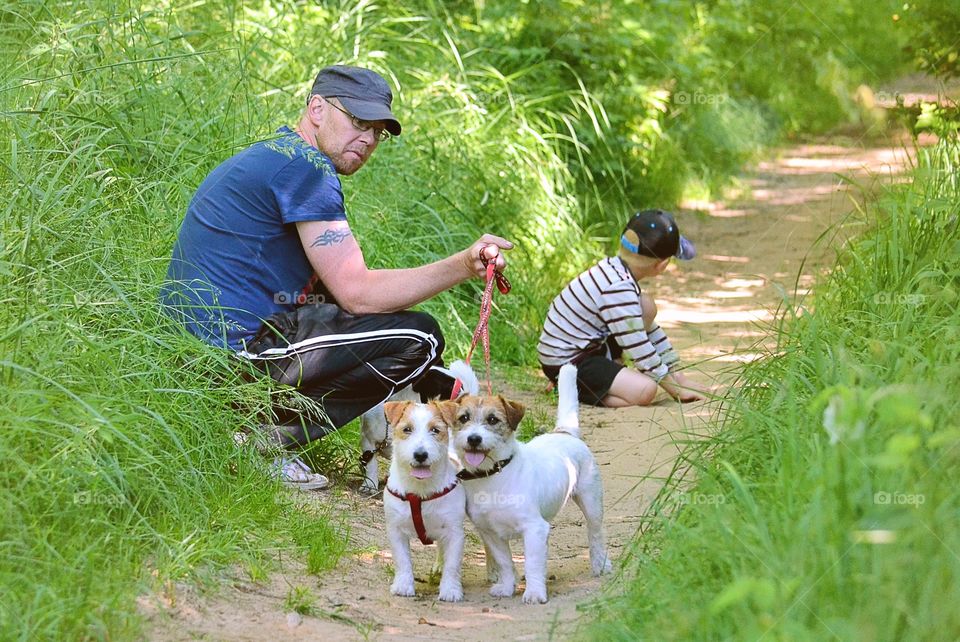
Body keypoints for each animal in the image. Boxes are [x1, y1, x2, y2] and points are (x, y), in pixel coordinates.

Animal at [436, 362, 612, 604]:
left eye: (493, 420)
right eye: (464, 418)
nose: (474, 439)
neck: (493, 476)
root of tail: (564, 432)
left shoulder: (534, 528)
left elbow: (532, 564)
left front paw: (535, 592)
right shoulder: (491, 533)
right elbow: (505, 563)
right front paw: (507, 586)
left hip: (592, 503)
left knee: (595, 535)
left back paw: (600, 564)